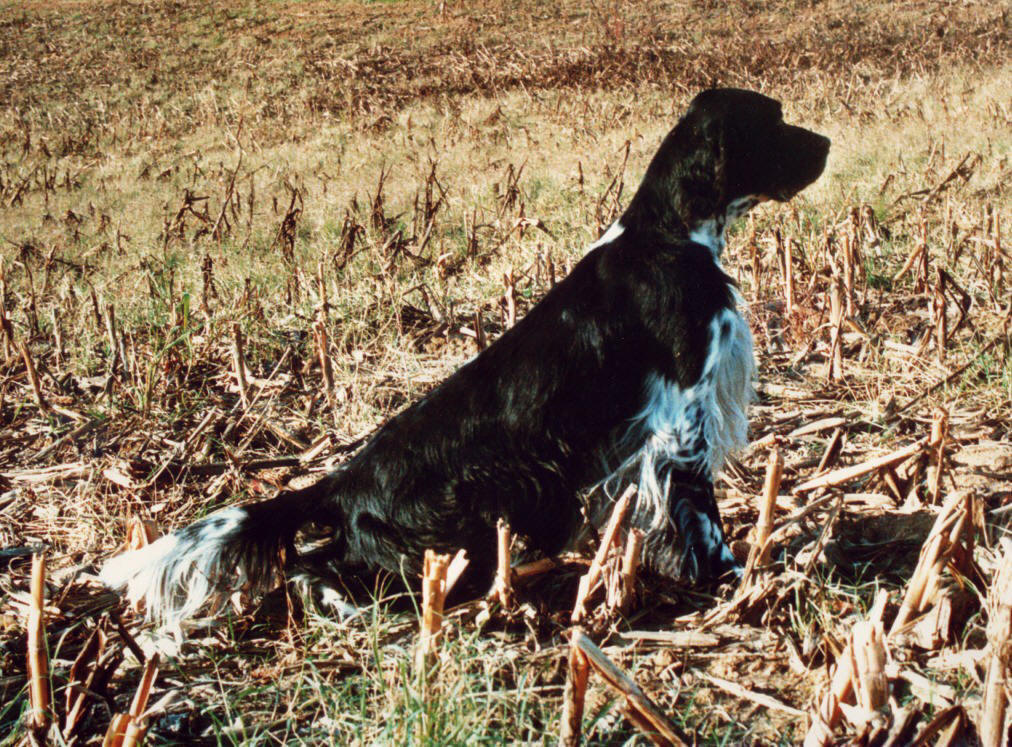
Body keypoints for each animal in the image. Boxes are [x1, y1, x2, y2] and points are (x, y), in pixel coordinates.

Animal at [102, 90, 829, 631]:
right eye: (775, 120)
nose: (825, 144)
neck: (672, 235)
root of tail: (341, 481)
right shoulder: (681, 416)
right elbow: (701, 513)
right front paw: (736, 578)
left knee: (315, 559)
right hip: (465, 519)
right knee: (334, 566)